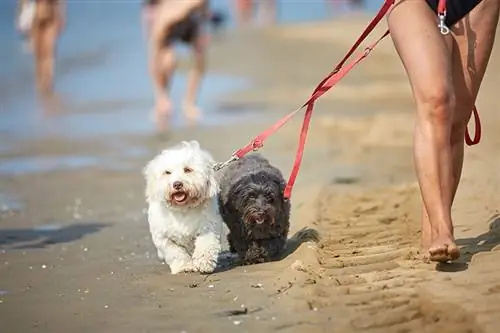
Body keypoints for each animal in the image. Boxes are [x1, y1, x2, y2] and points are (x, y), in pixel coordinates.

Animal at [145, 139, 223, 272]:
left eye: (187, 169)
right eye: (167, 172)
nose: (177, 184)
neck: (183, 209)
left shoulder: (208, 226)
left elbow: (206, 243)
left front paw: (204, 262)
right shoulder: (163, 237)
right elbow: (175, 252)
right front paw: (184, 265)